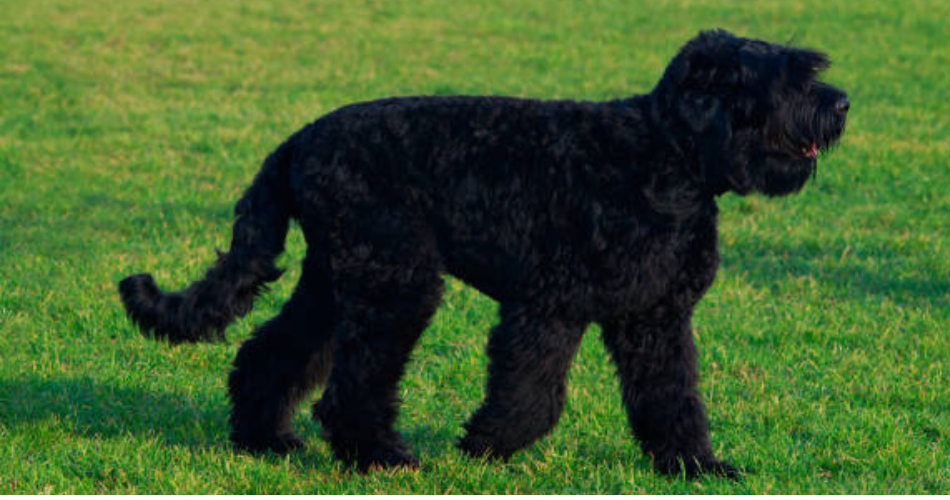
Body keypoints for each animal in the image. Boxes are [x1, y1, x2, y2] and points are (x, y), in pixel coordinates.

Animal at [115, 30, 852, 476]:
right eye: (784, 79)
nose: (841, 102)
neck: (666, 157)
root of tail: (297, 141)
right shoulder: (548, 306)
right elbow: (533, 389)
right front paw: (488, 443)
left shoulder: (655, 320)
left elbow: (671, 396)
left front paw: (694, 465)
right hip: (395, 285)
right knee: (351, 385)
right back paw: (381, 454)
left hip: (338, 281)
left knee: (274, 353)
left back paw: (264, 438)